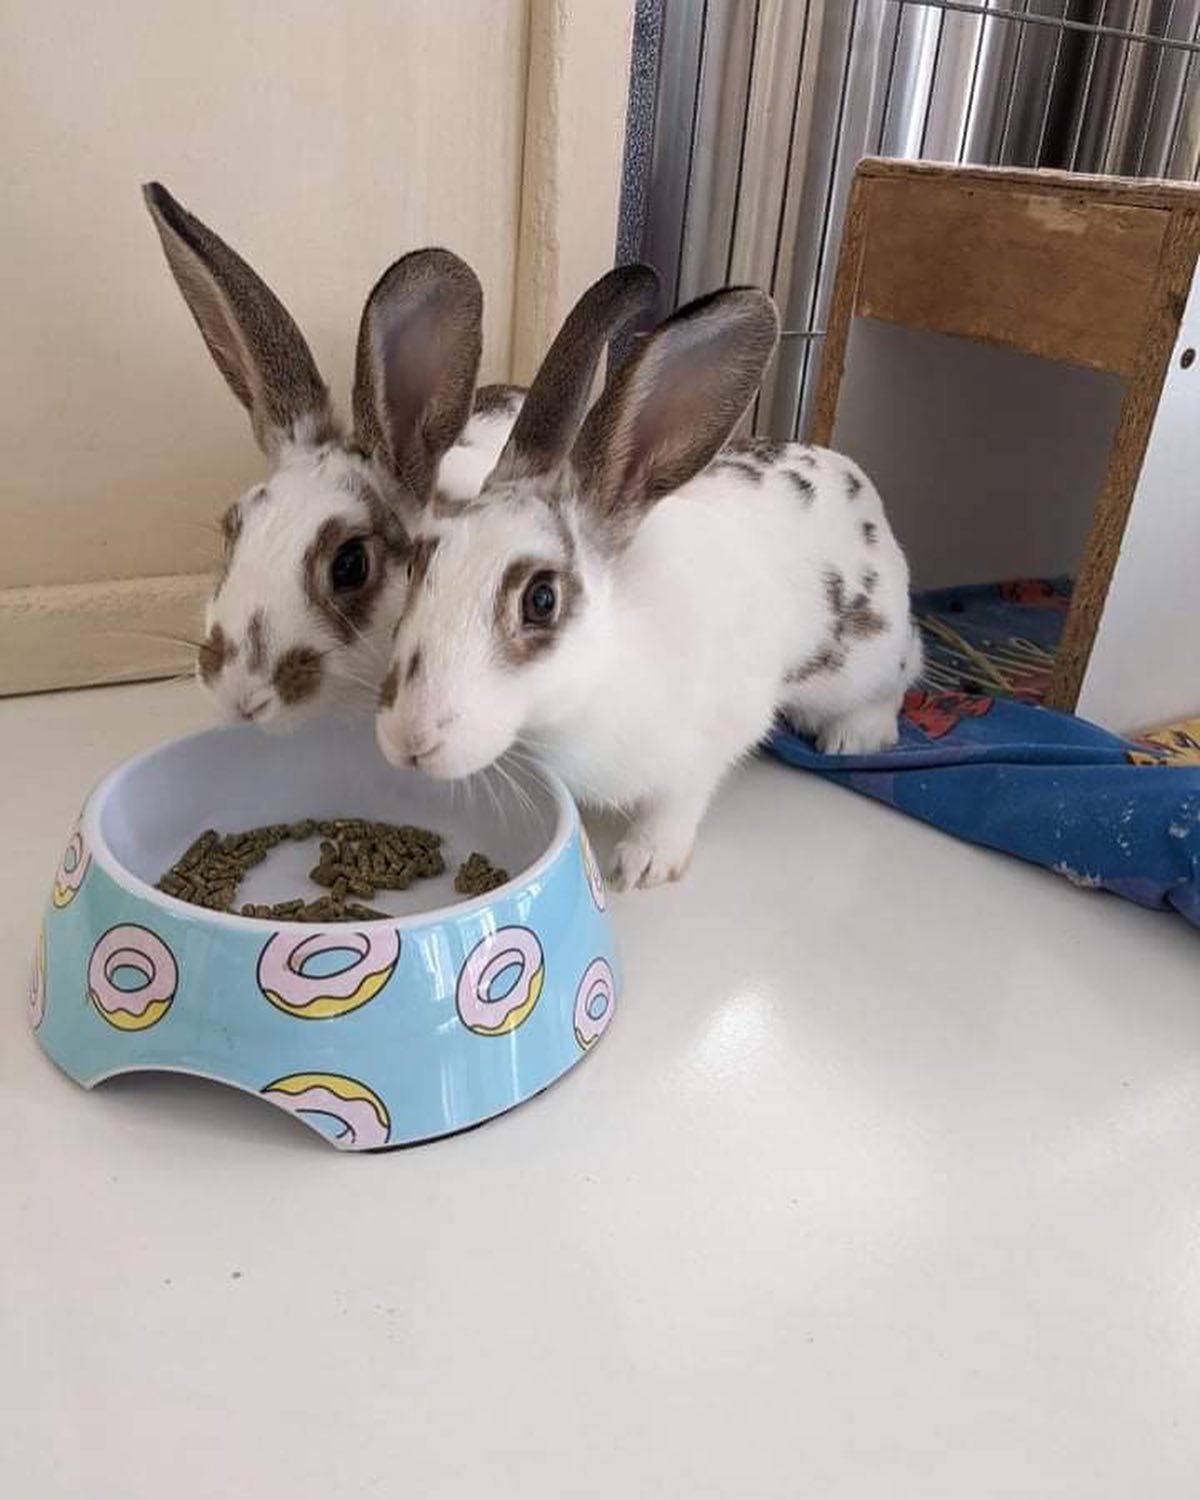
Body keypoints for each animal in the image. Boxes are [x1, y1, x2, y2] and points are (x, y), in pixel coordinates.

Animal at [373, 263, 922, 889]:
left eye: (542, 599)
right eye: (415, 564)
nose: (409, 738)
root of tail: (851, 475)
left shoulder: (712, 737)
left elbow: (679, 801)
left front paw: (641, 865)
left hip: (867, 658)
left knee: (908, 668)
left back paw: (853, 735)